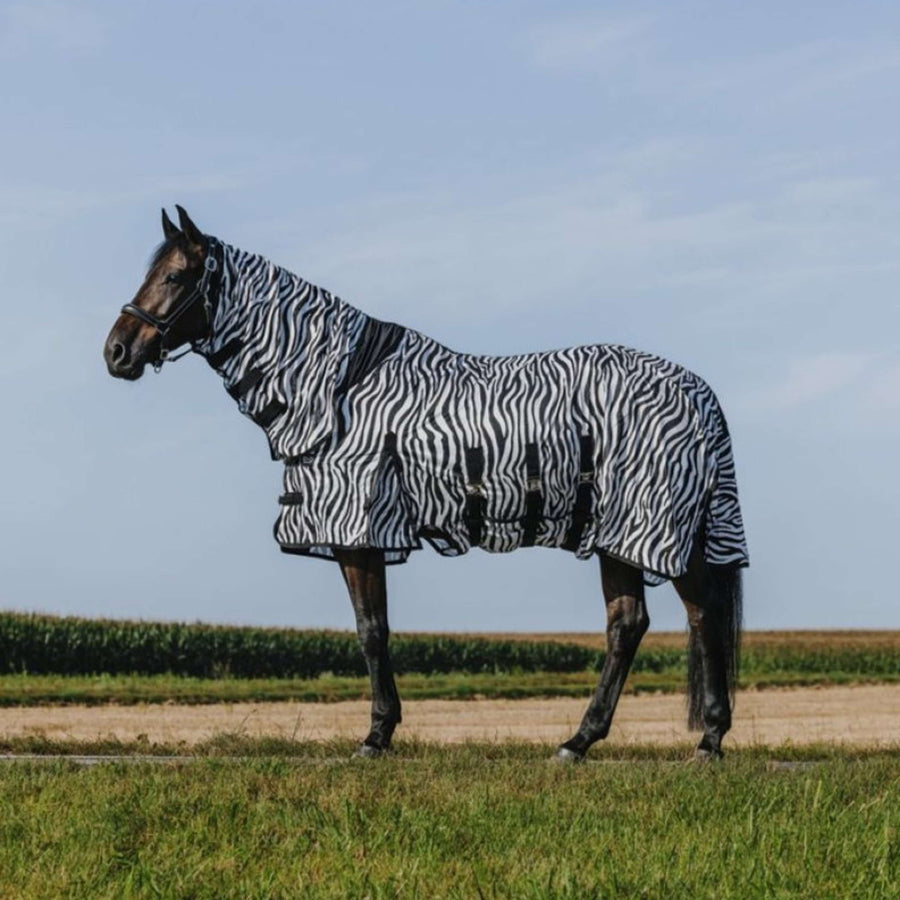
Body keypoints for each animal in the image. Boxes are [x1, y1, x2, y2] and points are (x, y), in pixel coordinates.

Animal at [104, 206, 748, 761]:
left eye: (176, 275)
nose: (117, 351)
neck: (339, 387)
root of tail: (700, 391)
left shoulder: (360, 532)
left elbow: (372, 632)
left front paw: (376, 736)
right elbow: (376, 629)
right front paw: (382, 730)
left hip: (649, 527)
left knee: (695, 617)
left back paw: (701, 741)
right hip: (622, 534)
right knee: (633, 624)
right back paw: (586, 741)